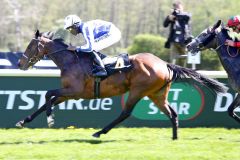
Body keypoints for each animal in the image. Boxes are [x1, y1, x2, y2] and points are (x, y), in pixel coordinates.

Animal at [16, 29, 227, 139]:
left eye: (30, 46)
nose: (19, 64)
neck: (70, 61)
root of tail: (164, 63)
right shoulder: (70, 93)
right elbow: (47, 101)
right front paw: (23, 121)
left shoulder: (74, 90)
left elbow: (47, 95)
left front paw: (50, 119)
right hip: (157, 94)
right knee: (172, 113)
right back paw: (175, 138)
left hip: (138, 90)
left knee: (125, 113)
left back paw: (99, 132)